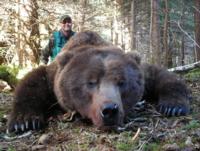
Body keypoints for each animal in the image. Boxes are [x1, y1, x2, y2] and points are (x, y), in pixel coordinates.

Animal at [6, 31, 191, 133]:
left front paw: (173, 106)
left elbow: (162, 75)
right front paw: (24, 122)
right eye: (90, 82)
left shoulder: (143, 73)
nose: (109, 110)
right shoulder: (52, 77)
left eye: (121, 82)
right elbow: (33, 81)